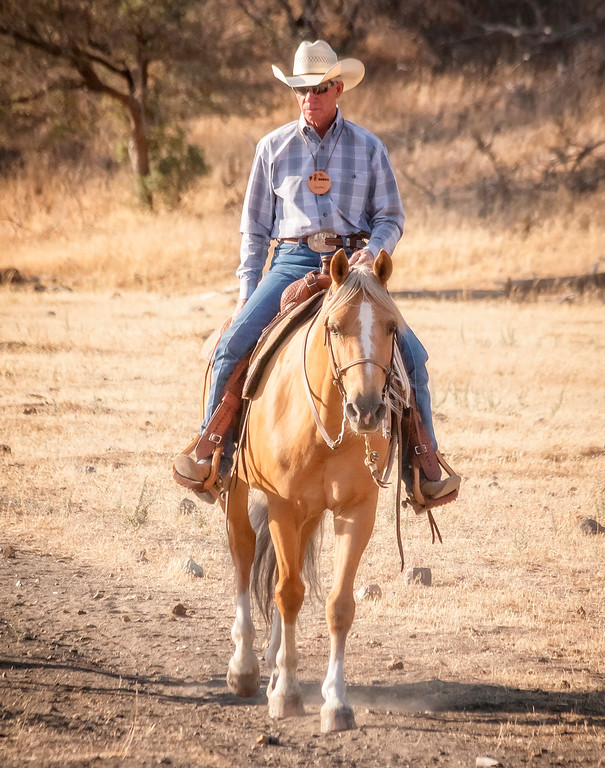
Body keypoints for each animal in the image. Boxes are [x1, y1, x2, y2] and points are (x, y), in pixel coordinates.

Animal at [219, 248, 408, 732]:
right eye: (335, 326)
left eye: (392, 326)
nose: (367, 409)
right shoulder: (282, 504)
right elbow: (288, 593)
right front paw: (286, 694)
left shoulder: (355, 509)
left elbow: (338, 604)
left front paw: (335, 703)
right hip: (240, 489)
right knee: (244, 554)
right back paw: (246, 668)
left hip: (309, 512)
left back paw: (272, 664)